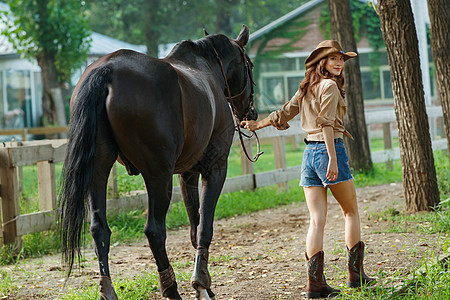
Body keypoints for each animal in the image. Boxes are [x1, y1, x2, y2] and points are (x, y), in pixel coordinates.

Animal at [58, 25, 258, 300]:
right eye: (249, 64)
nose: (251, 112)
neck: (205, 69)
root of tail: (107, 71)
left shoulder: (187, 174)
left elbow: (195, 227)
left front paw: (204, 285)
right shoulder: (215, 169)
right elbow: (204, 226)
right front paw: (202, 283)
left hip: (97, 170)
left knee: (99, 230)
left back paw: (108, 290)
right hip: (158, 176)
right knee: (154, 231)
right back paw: (171, 289)